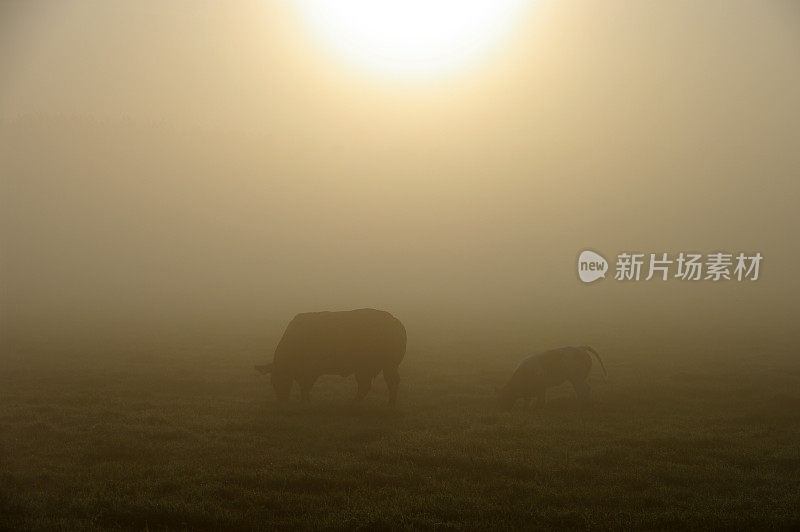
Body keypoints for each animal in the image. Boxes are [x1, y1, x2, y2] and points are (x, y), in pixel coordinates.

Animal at [256, 310, 406, 406]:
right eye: (272, 381)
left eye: (277, 379)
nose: (281, 400)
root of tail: (396, 322)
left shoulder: (311, 369)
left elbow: (305, 386)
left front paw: (305, 402)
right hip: (378, 367)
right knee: (372, 384)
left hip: (384, 365)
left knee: (386, 382)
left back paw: (386, 403)